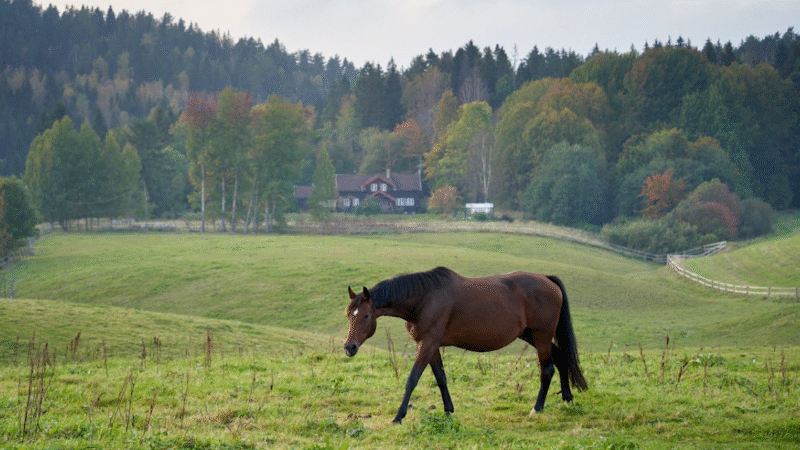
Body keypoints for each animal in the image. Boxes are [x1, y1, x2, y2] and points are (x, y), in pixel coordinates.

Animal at [343, 266, 588, 424]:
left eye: (366, 315)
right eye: (348, 314)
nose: (349, 347)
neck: (425, 298)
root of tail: (547, 279)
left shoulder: (428, 343)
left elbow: (412, 379)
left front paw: (398, 417)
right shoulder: (432, 345)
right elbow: (441, 378)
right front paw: (448, 410)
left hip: (541, 337)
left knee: (547, 370)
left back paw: (537, 409)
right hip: (531, 336)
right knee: (561, 358)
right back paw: (567, 398)